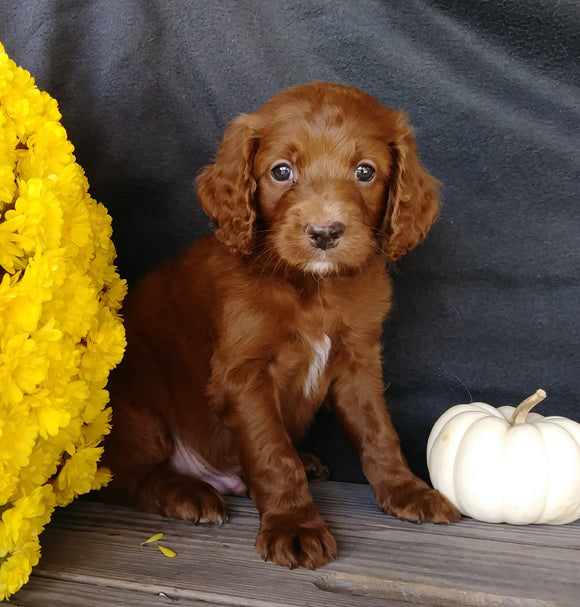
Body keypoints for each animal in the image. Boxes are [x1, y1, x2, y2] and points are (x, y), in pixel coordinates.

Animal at [102, 82, 460, 568]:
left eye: (365, 171)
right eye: (282, 171)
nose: (325, 233)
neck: (313, 286)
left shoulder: (358, 362)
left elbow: (378, 432)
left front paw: (407, 490)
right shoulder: (244, 375)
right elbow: (272, 453)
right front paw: (294, 525)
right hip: (137, 405)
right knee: (124, 475)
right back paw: (187, 494)